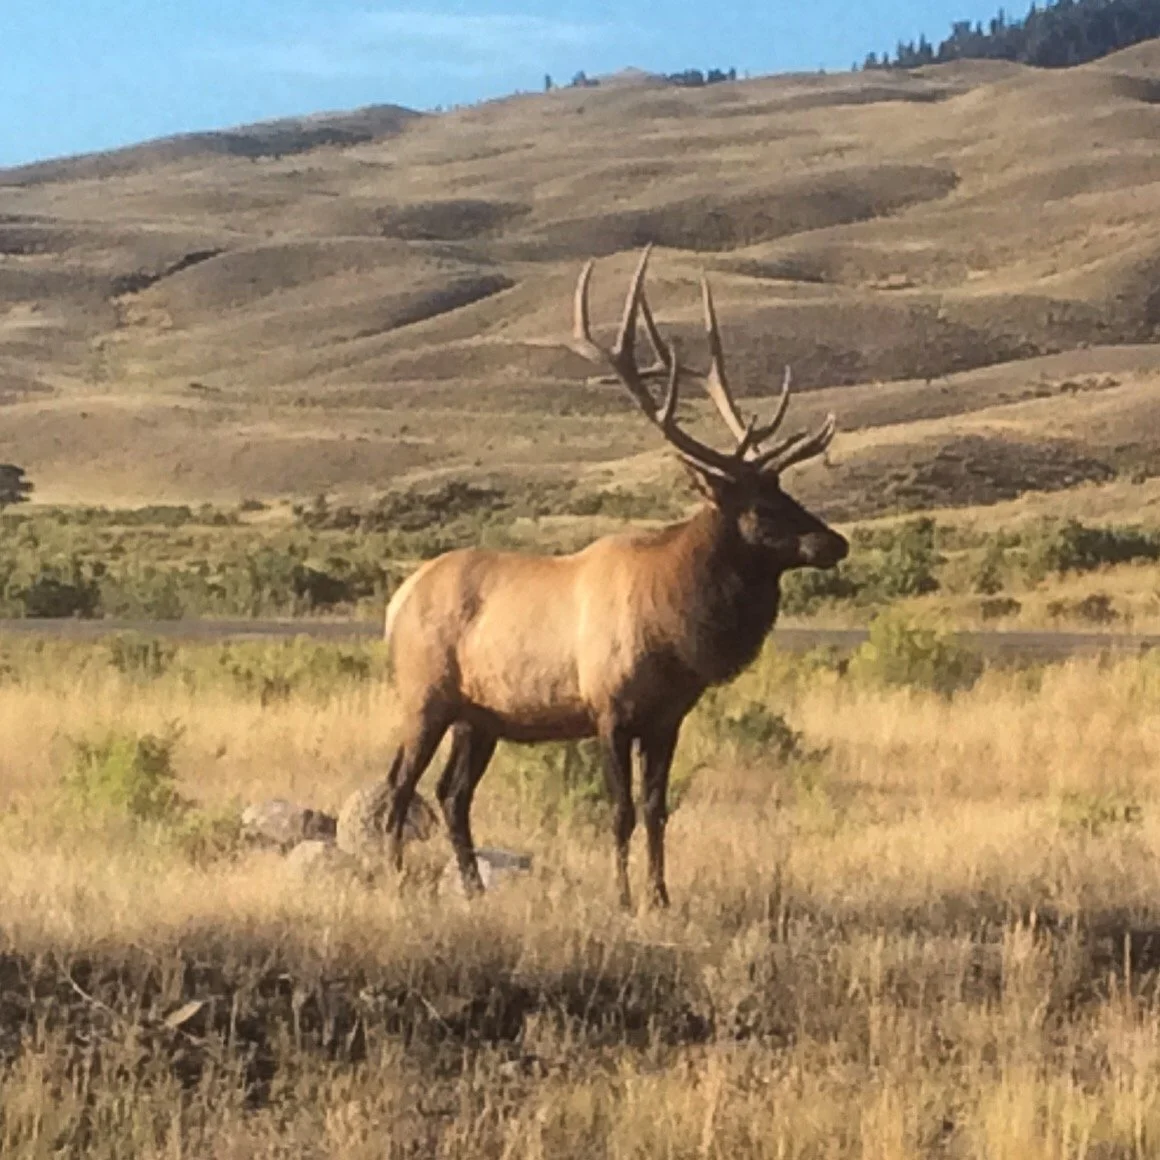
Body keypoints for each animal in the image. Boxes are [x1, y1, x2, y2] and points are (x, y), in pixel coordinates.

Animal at [373, 245, 848, 910]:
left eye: (789, 491)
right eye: (762, 506)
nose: (835, 541)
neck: (678, 630)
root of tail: (396, 601)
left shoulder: (668, 718)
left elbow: (656, 810)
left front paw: (662, 897)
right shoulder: (610, 711)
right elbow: (620, 812)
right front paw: (623, 900)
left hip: (480, 716)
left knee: (451, 794)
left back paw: (474, 888)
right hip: (424, 696)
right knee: (398, 785)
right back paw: (395, 880)